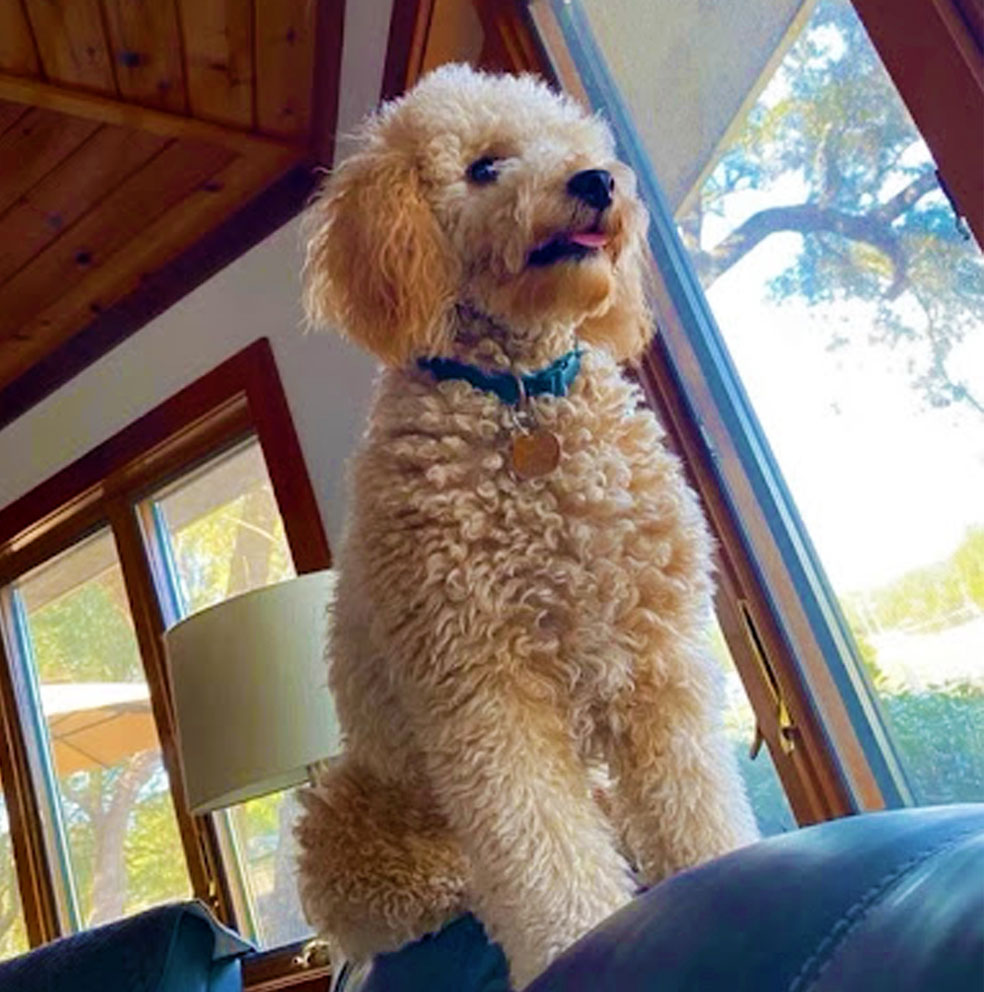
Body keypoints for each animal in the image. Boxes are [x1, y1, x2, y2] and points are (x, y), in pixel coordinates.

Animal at [292, 66, 752, 988]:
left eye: (574, 145)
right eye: (484, 167)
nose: (598, 182)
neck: (522, 395)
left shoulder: (657, 663)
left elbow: (697, 805)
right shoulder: (485, 692)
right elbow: (543, 862)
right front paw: (579, 943)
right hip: (350, 817)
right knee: (441, 888)